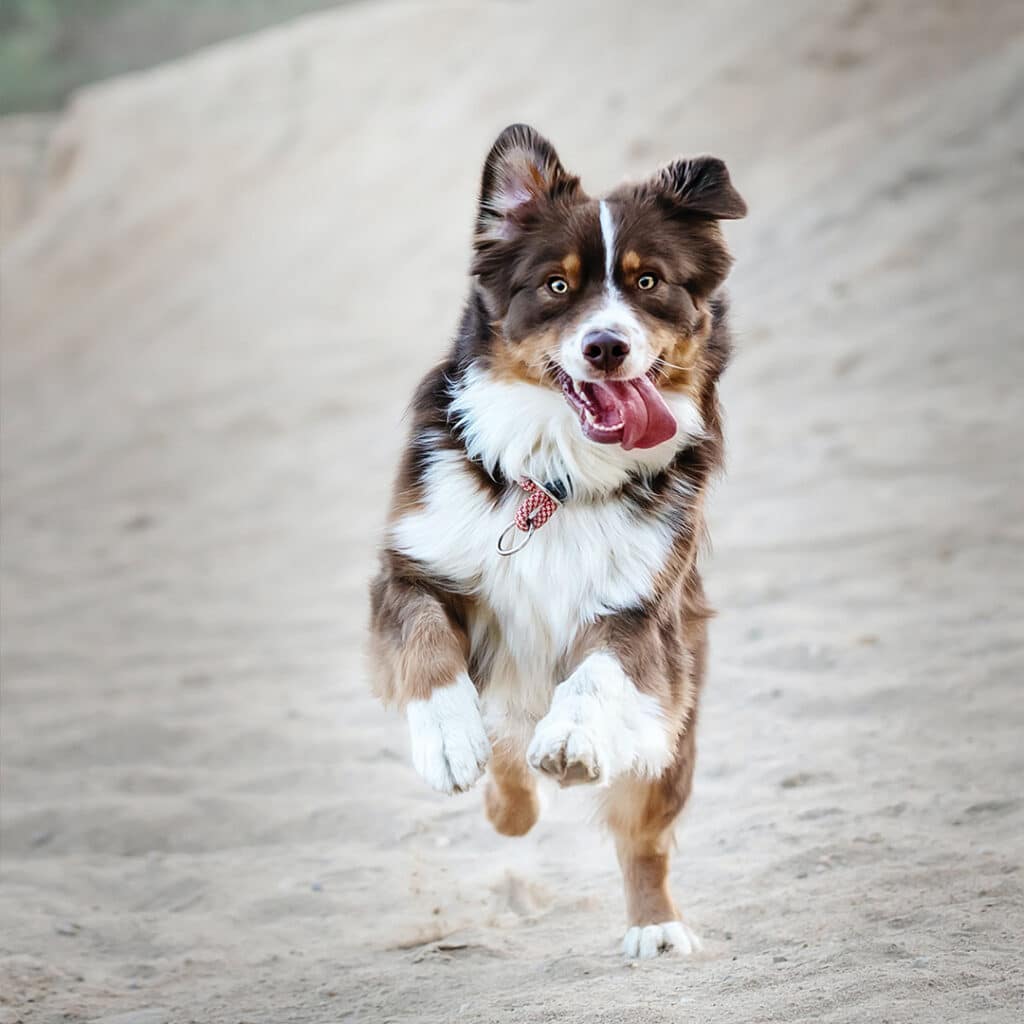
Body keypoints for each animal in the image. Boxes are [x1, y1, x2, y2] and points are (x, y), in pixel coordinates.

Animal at [368, 123, 745, 954]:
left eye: (648, 282)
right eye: (557, 287)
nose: (606, 347)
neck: (555, 476)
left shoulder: (643, 612)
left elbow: (597, 675)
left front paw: (572, 739)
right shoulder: (412, 568)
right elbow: (426, 645)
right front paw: (449, 740)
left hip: (675, 721)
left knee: (644, 835)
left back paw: (655, 925)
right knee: (508, 756)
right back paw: (505, 792)